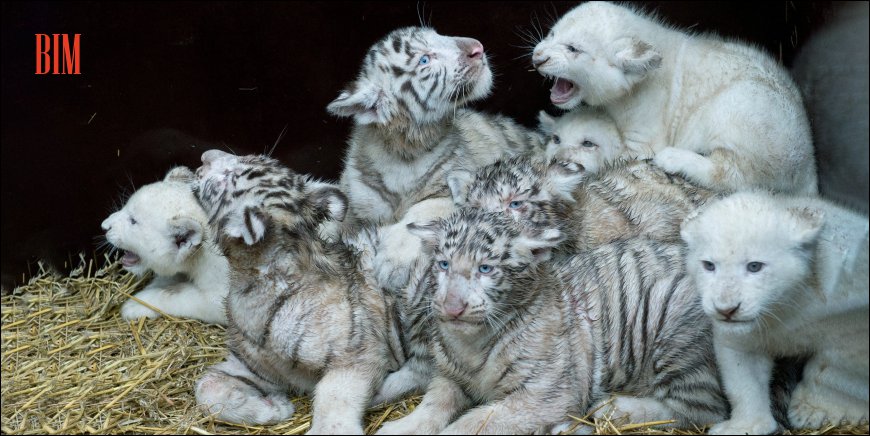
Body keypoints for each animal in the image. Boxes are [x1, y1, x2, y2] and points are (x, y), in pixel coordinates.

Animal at [191, 149, 407, 433]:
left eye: (227, 179)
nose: (205, 156)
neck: (250, 285)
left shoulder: (357, 355)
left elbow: (332, 403)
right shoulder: (254, 367)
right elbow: (206, 387)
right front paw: (274, 408)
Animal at [327, 26, 544, 291]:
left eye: (439, 34)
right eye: (424, 60)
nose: (477, 48)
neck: (403, 150)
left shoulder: (452, 191)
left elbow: (421, 211)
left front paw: (393, 264)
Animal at [375, 208, 727, 434]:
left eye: (485, 269)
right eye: (444, 265)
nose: (452, 307)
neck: (471, 342)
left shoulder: (544, 395)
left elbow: (473, 423)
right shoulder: (450, 377)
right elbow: (433, 404)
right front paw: (400, 428)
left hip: (676, 336)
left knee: (703, 409)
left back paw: (615, 409)